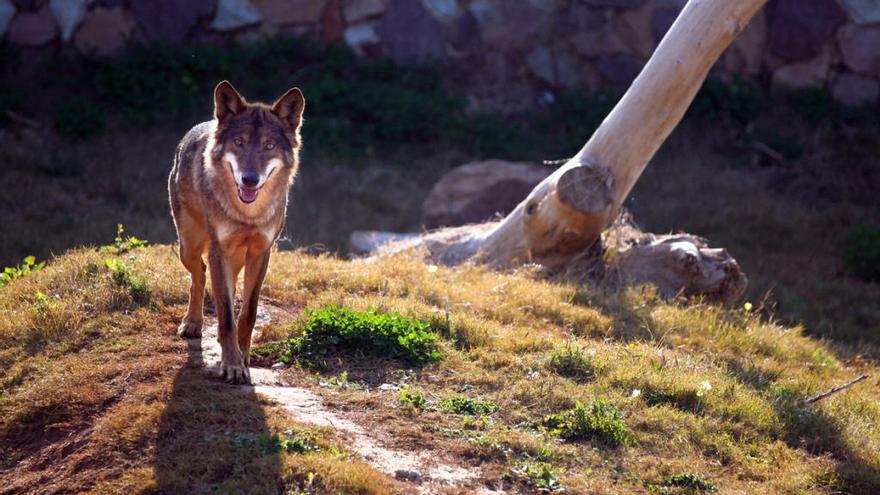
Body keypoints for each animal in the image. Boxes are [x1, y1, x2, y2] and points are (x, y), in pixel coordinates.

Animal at [169, 80, 306, 384]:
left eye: (269, 146)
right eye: (239, 143)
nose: (250, 179)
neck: (248, 215)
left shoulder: (261, 253)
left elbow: (248, 313)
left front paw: (242, 358)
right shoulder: (219, 251)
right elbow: (226, 317)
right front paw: (232, 365)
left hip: (234, 259)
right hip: (189, 247)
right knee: (199, 274)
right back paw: (192, 323)